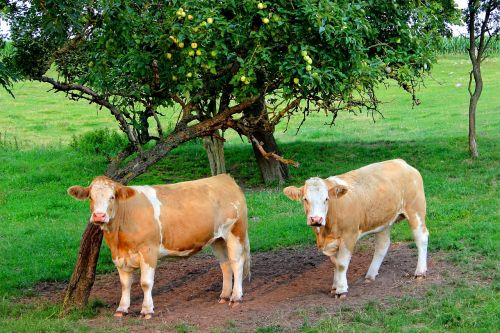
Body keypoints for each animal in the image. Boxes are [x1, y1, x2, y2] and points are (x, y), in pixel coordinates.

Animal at [67, 174, 250, 316]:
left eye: (112, 197)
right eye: (91, 197)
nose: (99, 216)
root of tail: (224, 178)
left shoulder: (148, 251)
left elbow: (145, 283)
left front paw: (147, 310)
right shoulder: (119, 256)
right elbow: (125, 284)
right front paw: (122, 308)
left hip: (235, 232)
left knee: (236, 263)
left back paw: (235, 297)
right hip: (217, 239)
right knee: (225, 265)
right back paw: (224, 295)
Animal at [284, 158, 428, 296]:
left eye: (326, 199)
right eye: (305, 199)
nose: (316, 219)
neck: (326, 233)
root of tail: (401, 162)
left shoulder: (349, 235)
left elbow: (342, 263)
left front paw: (341, 290)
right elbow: (335, 263)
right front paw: (335, 286)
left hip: (416, 210)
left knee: (421, 237)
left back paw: (420, 272)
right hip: (383, 219)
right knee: (383, 245)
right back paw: (370, 275)